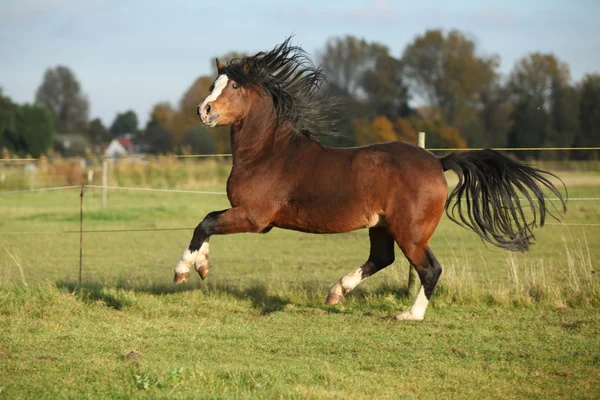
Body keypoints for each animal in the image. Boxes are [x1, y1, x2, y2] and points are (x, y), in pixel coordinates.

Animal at [171, 36, 564, 318]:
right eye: (213, 83)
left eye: (234, 87)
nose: (203, 110)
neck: (268, 152)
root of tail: (437, 162)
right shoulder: (246, 215)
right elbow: (207, 221)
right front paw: (202, 266)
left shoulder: (255, 218)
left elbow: (205, 222)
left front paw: (184, 270)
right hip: (382, 225)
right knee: (383, 258)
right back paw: (337, 292)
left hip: (410, 232)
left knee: (430, 268)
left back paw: (409, 315)